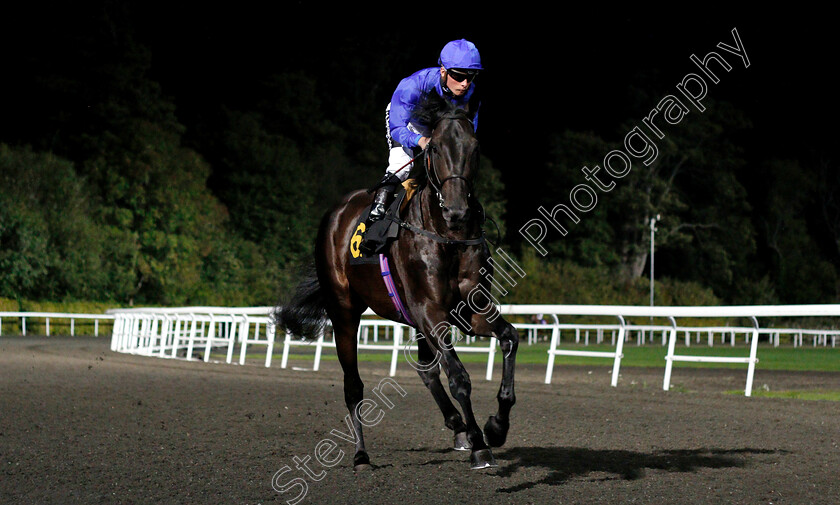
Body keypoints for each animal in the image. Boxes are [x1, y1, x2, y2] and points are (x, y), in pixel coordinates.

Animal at [276, 93, 520, 468]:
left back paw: (457, 425)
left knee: (426, 369)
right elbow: (459, 377)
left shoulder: (467, 309)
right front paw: (480, 443)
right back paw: (361, 454)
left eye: (475, 147)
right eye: (435, 148)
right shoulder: (430, 310)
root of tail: (336, 213)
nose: (456, 211)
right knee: (353, 385)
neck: (446, 234)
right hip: (344, 311)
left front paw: (495, 427)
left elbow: (509, 338)